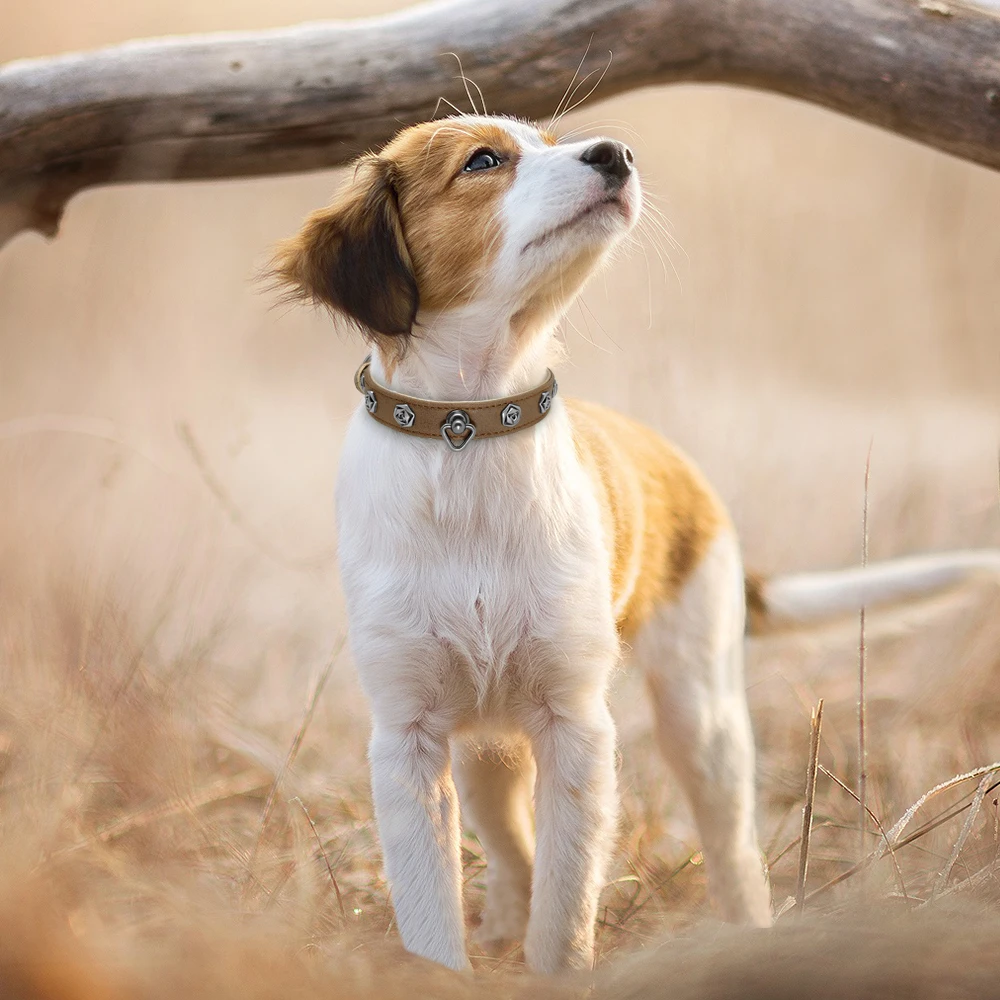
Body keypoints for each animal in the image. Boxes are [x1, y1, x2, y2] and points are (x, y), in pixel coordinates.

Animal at [276, 113, 1000, 972]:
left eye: (550, 139)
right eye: (483, 161)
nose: (615, 153)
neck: (468, 433)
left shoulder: (577, 724)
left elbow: (565, 909)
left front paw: (555, 975)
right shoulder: (408, 736)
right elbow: (432, 908)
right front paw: (447, 972)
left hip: (703, 714)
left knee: (732, 852)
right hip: (486, 748)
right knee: (513, 849)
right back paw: (499, 927)